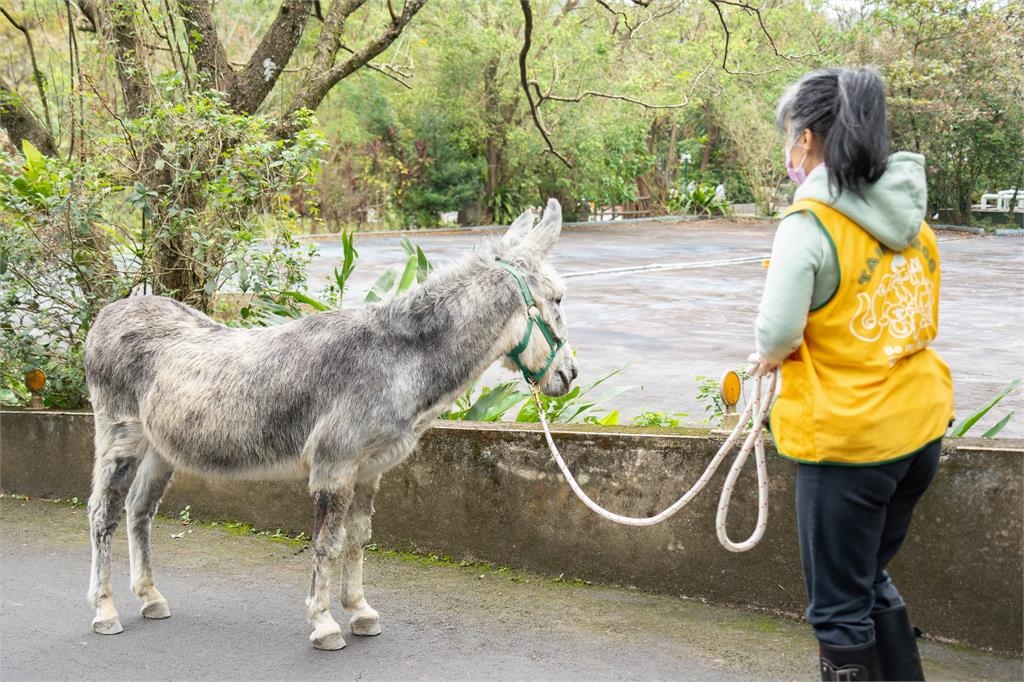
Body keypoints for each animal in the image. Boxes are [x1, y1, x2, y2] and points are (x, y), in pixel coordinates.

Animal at [83, 199, 578, 650]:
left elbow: (357, 539)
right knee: (103, 512)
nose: (570, 375)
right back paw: (105, 612)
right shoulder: (333, 467)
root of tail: (107, 316)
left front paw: (359, 612)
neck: (395, 358)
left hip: (160, 450)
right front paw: (324, 624)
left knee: (139, 511)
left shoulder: (368, 470)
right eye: (557, 298)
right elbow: (327, 543)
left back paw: (150, 598)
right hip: (120, 437)